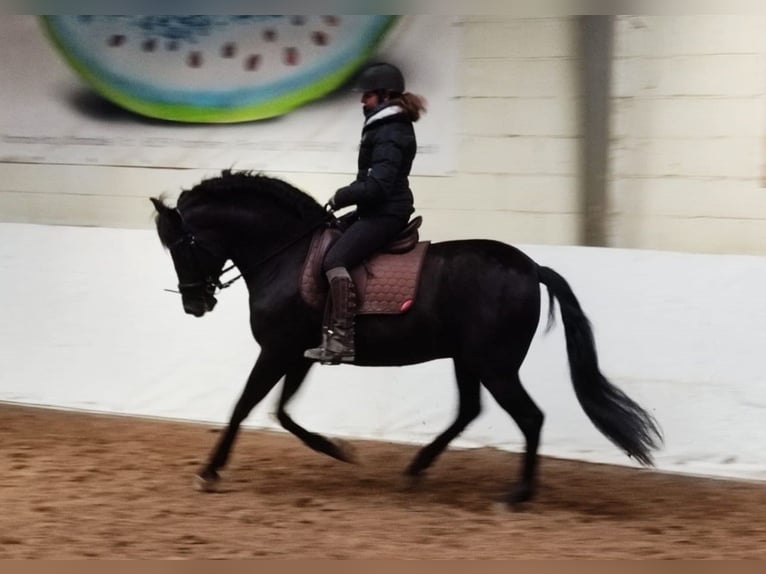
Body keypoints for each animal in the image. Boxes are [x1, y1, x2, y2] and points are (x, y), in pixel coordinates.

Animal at [150, 169, 662, 505]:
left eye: (181, 245)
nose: (195, 304)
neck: (286, 255)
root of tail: (531, 267)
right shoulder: (299, 353)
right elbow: (282, 412)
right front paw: (338, 450)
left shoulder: (278, 350)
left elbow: (245, 405)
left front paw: (209, 471)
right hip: (468, 359)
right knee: (469, 410)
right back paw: (418, 468)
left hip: (494, 364)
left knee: (530, 417)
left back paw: (517, 494)